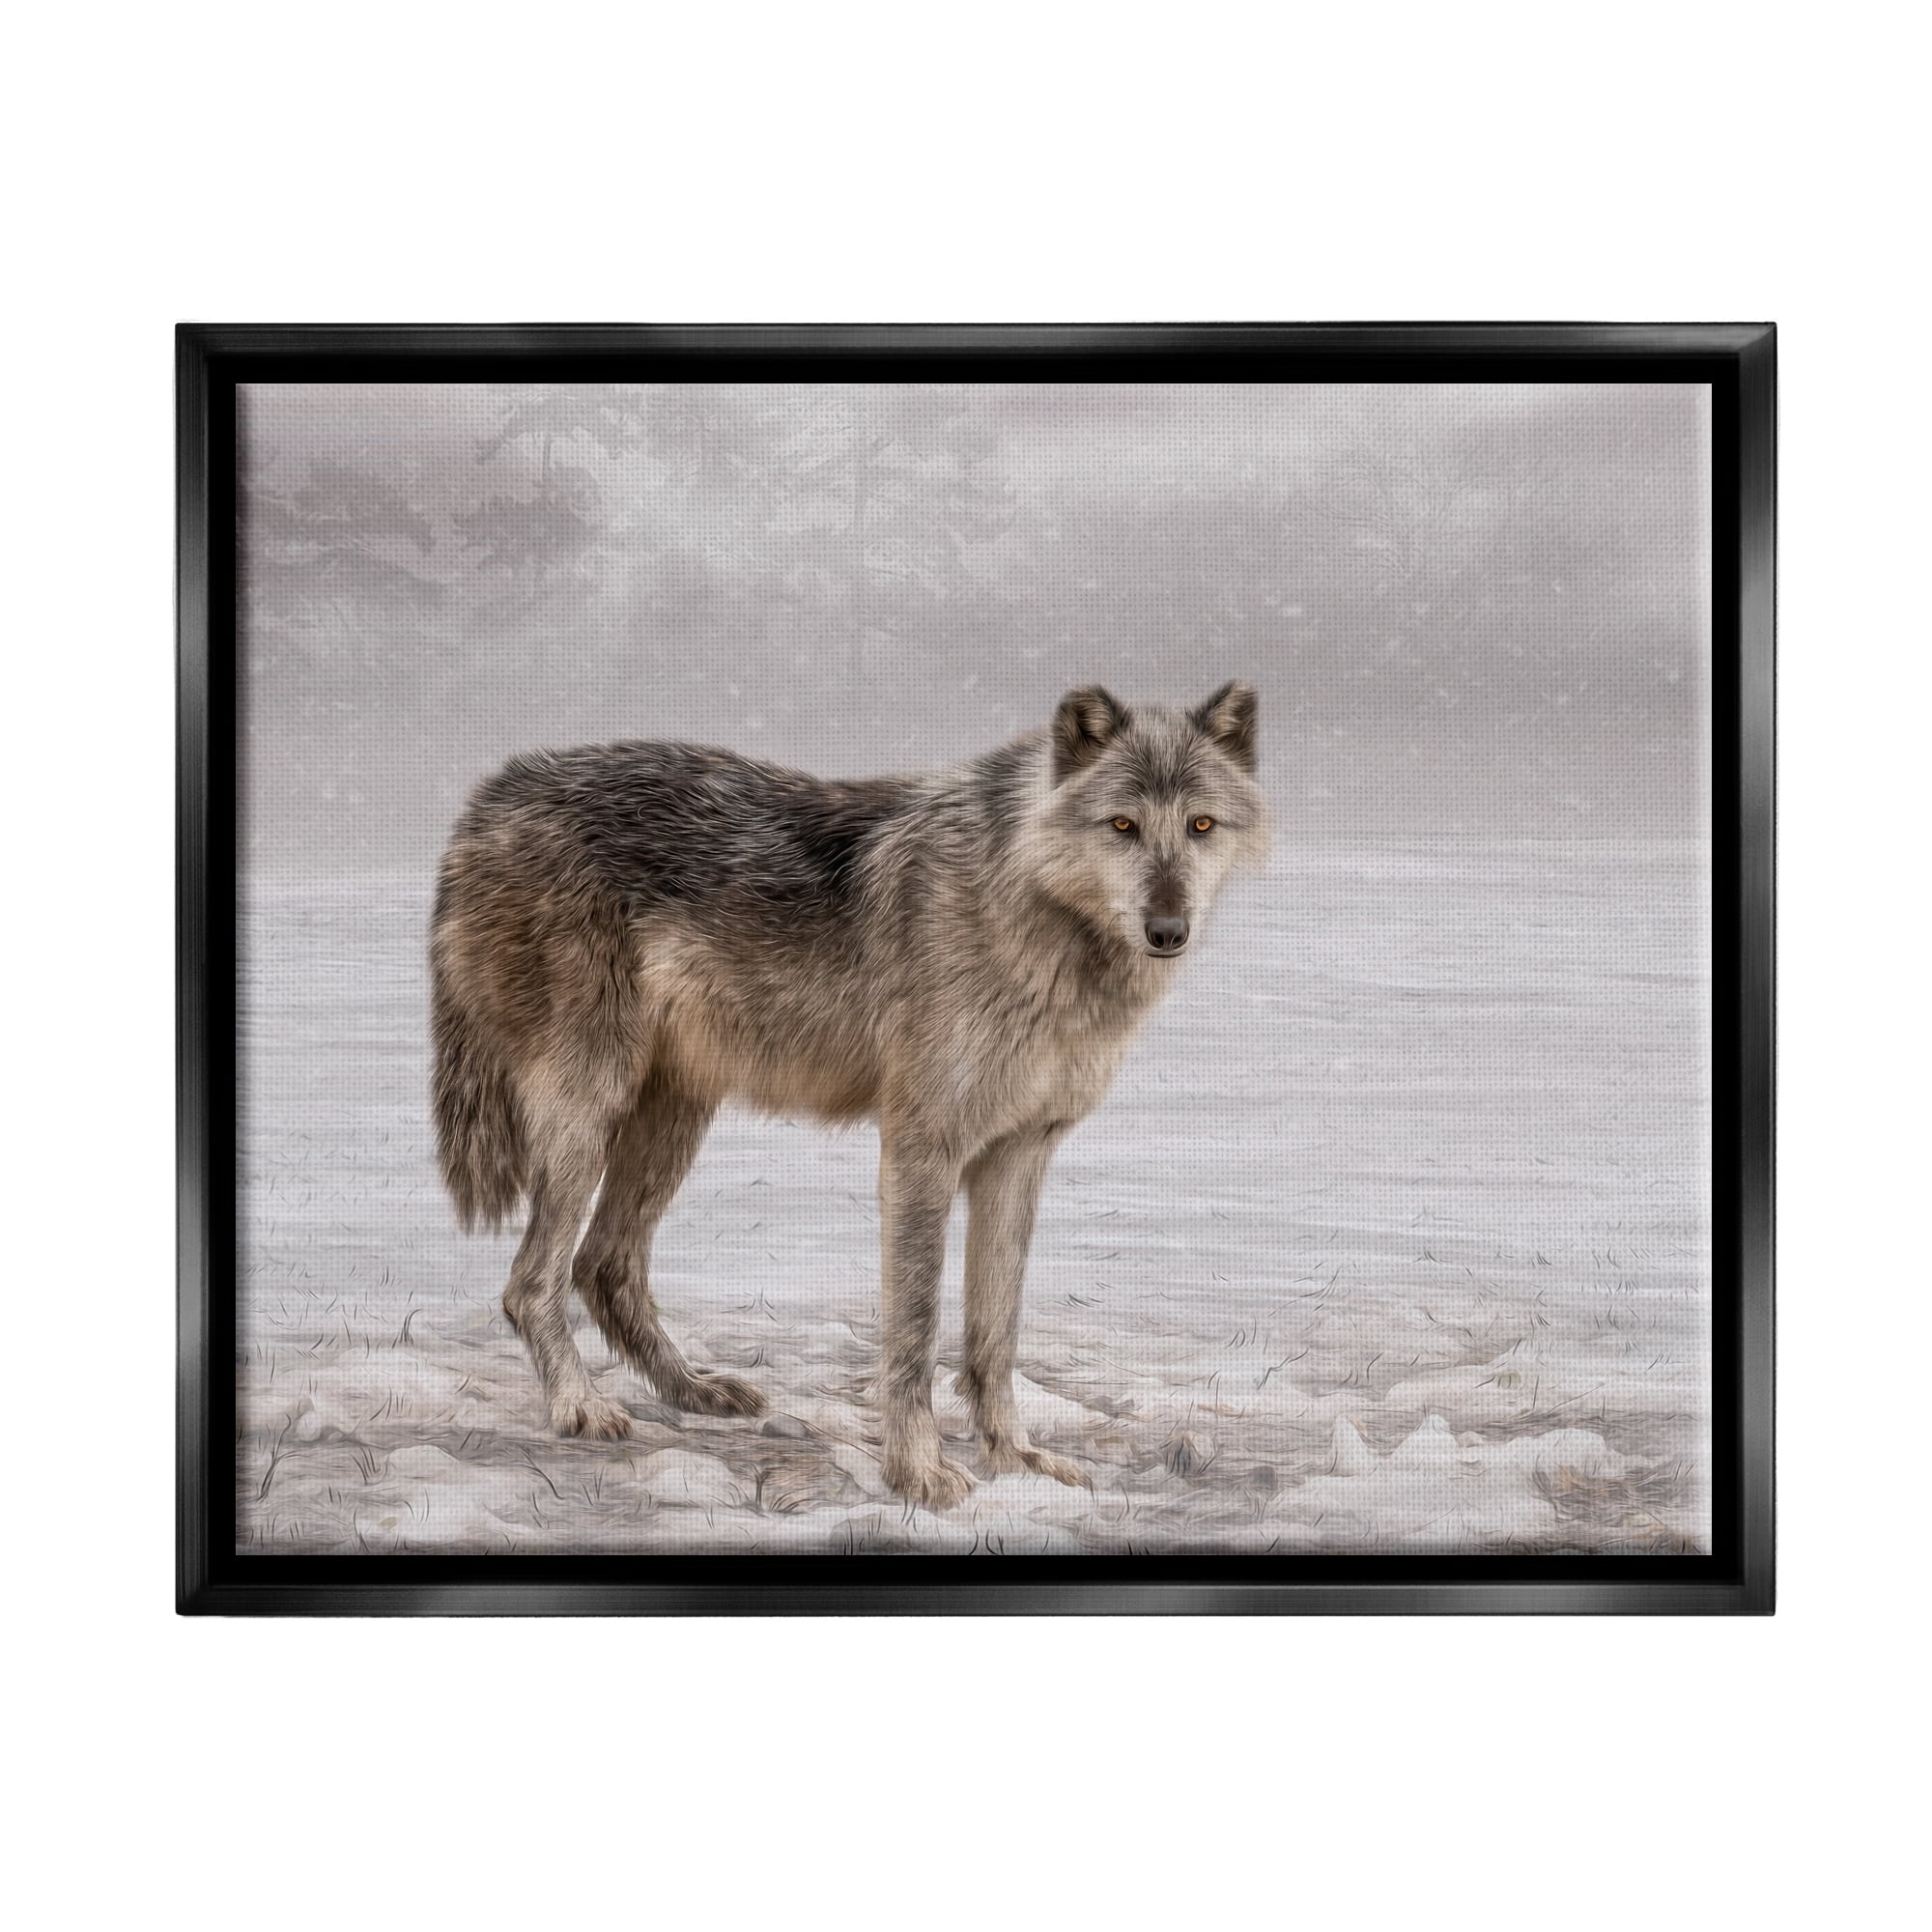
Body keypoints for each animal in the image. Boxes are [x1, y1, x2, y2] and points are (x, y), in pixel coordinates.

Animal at [430, 682, 1266, 1509]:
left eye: (1200, 825)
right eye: (1122, 825)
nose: (1168, 929)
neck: (1034, 914)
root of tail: (491, 795)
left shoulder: (1019, 1154)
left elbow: (995, 1335)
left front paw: (1016, 1460)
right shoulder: (922, 1150)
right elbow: (915, 1331)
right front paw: (921, 1474)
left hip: (674, 1116)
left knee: (603, 1265)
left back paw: (695, 1391)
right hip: (590, 1110)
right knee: (532, 1282)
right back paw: (580, 1406)